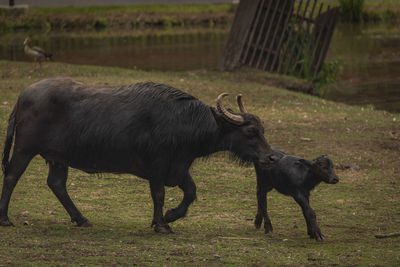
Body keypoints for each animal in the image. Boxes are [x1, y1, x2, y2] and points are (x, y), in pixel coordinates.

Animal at [0, 77, 276, 234]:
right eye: (250, 131)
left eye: (263, 130)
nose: (271, 158)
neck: (183, 122)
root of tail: (23, 96)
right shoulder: (158, 165)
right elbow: (159, 194)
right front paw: (162, 224)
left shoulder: (179, 167)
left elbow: (191, 192)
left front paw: (170, 216)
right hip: (24, 148)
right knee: (12, 176)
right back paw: (5, 218)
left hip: (58, 158)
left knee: (56, 184)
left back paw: (81, 219)